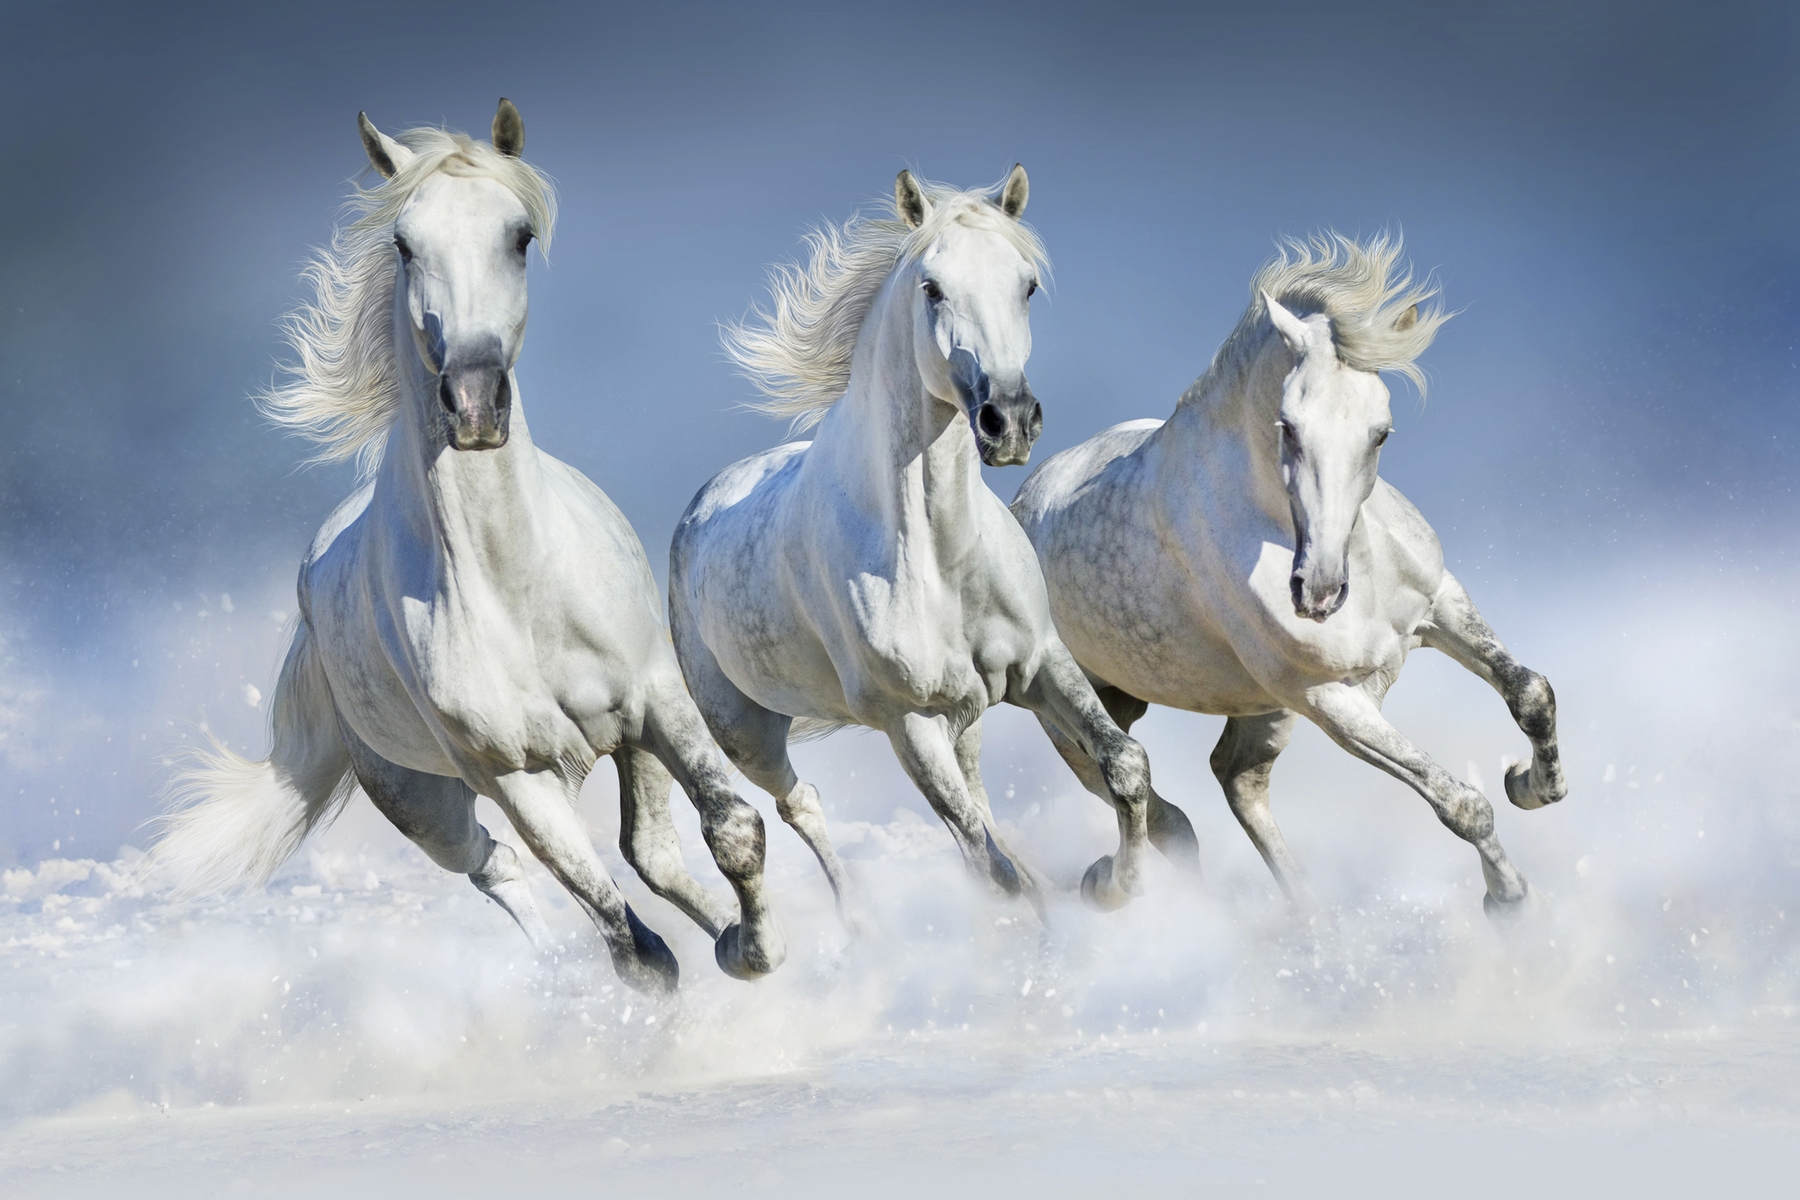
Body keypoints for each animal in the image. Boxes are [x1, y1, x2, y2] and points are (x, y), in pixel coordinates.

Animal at [151, 101, 784, 993]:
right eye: (404, 244)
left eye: (519, 236)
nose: (476, 402)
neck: (514, 585)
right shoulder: (516, 775)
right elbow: (632, 948)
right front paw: (718, 967)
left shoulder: (657, 702)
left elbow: (732, 828)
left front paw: (756, 949)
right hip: (422, 802)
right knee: (497, 866)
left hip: (626, 742)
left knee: (651, 852)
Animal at [669, 169, 1198, 918]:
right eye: (932, 287)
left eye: (1026, 285)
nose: (1009, 421)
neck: (939, 557)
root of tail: (699, 508)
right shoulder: (909, 722)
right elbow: (988, 865)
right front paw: (1092, 895)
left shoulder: (1042, 663)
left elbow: (1124, 765)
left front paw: (1111, 885)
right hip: (748, 733)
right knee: (801, 804)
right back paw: (854, 922)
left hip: (964, 715)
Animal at [1011, 233, 1566, 917]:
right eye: (1289, 427)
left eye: (1381, 434)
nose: (1319, 593)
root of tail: (1023, 502)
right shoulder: (1325, 697)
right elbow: (1461, 803)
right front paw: (1510, 900)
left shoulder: (1440, 605)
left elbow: (1531, 693)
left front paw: (1531, 785)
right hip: (1075, 707)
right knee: (1143, 795)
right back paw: (1116, 885)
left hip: (1251, 708)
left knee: (1236, 777)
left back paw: (1307, 917)